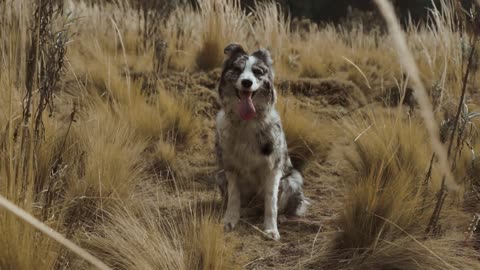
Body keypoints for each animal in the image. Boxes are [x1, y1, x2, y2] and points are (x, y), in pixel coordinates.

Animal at [214, 43, 308, 239]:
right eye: (237, 69)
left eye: (258, 72)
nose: (247, 82)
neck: (246, 122)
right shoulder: (230, 167)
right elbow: (233, 197)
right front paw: (230, 220)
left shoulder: (273, 168)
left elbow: (271, 202)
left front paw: (271, 229)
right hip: (219, 175)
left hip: (294, 178)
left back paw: (282, 218)